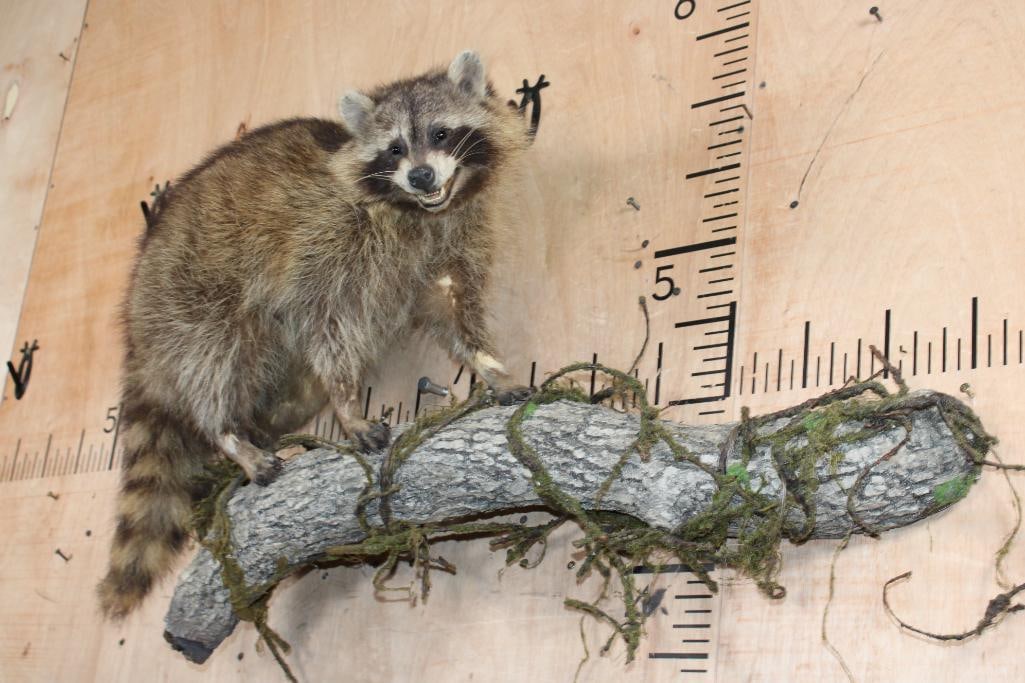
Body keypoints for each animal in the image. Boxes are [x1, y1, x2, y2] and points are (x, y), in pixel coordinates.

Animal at [98, 51, 534, 619]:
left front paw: (489, 365)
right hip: (190, 296)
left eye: (441, 133)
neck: (419, 212)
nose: (420, 175)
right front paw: (348, 405)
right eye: (395, 148)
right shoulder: (327, 244)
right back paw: (228, 433)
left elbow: (455, 306)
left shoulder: (457, 237)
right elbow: (330, 324)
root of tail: (136, 318)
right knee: (213, 365)